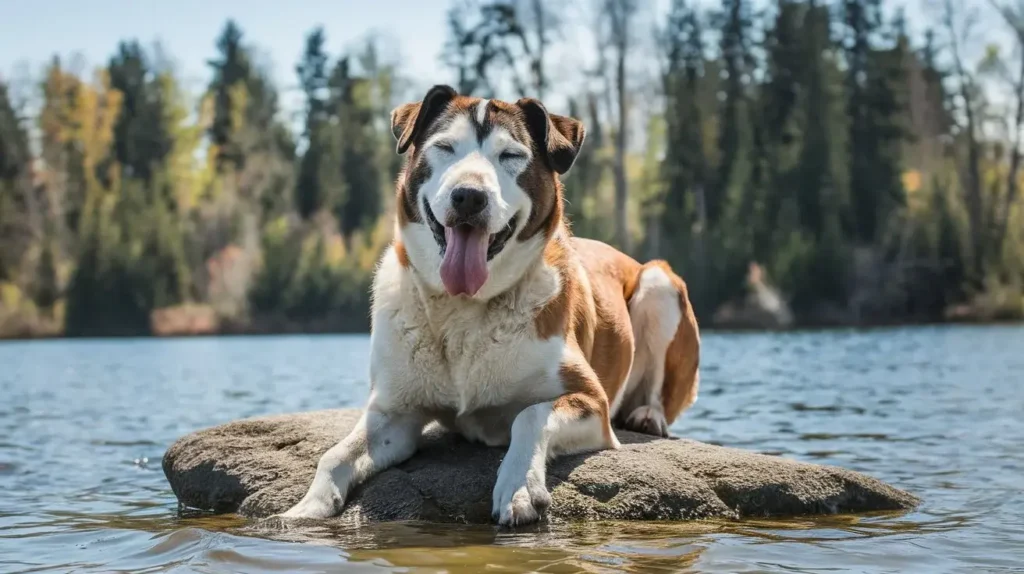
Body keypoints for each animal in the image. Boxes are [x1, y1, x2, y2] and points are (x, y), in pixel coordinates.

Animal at [280, 83, 700, 523]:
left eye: (511, 155)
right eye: (444, 147)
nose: (468, 196)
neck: (463, 307)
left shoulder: (591, 402)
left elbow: (529, 416)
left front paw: (518, 487)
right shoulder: (396, 413)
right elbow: (336, 455)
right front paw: (306, 508)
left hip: (659, 284)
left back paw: (648, 416)